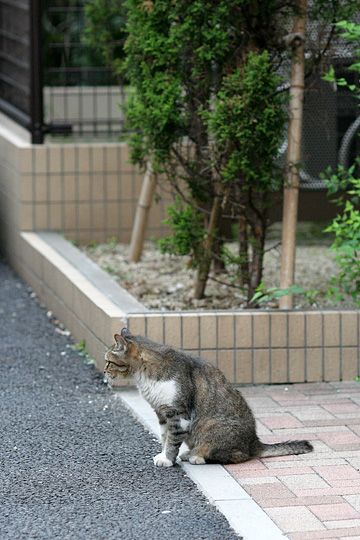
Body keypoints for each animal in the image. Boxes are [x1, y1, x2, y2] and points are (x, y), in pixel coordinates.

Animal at [104, 326, 312, 466]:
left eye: (109, 361)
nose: (104, 371)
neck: (143, 375)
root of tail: (255, 442)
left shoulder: (178, 414)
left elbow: (172, 439)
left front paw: (167, 459)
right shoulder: (162, 412)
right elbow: (164, 436)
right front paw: (163, 454)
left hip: (211, 425)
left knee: (237, 456)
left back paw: (196, 456)